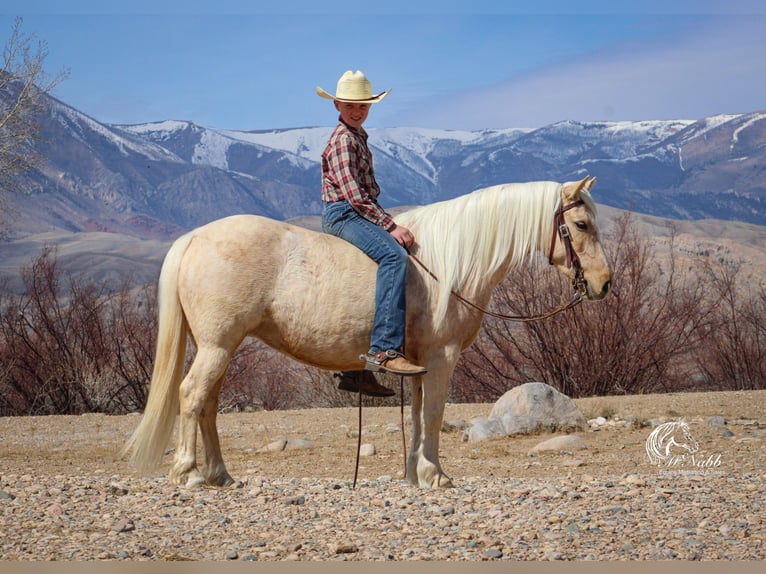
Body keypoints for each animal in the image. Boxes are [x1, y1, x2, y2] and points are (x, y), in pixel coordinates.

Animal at [123, 176, 611, 489]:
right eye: (581, 225)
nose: (604, 284)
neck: (448, 263)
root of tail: (195, 237)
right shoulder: (442, 357)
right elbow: (434, 414)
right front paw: (436, 476)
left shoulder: (419, 362)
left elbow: (416, 415)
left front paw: (414, 474)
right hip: (217, 346)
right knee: (191, 397)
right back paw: (189, 474)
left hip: (219, 348)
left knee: (208, 405)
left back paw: (220, 475)